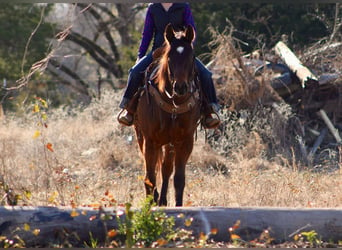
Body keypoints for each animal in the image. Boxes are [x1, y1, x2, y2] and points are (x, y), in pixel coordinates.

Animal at [132, 23, 202, 207]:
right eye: (169, 57)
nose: (181, 87)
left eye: (192, 57)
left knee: (166, 169)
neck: (173, 102)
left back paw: (162, 200)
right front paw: (150, 203)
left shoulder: (185, 141)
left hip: (170, 143)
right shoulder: (150, 141)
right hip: (143, 137)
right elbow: (149, 177)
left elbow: (178, 178)